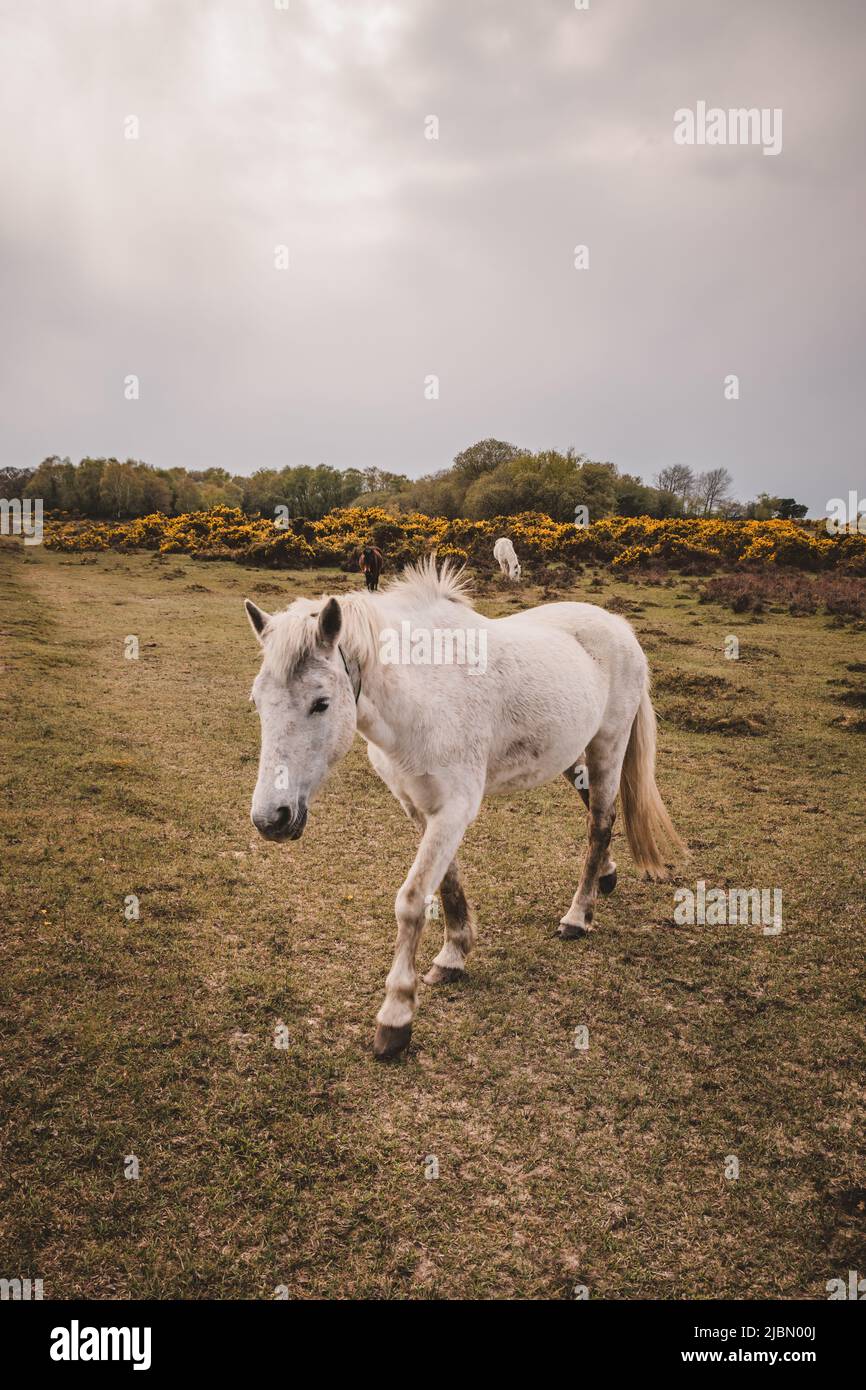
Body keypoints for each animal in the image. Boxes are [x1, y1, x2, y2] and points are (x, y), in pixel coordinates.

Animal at [244, 557, 685, 1060]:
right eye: (258, 702)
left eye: (321, 703)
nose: (271, 818)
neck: (424, 696)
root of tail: (617, 625)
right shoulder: (421, 808)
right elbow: (447, 883)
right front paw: (454, 955)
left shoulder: (454, 809)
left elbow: (412, 901)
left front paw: (396, 1015)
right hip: (572, 755)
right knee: (594, 810)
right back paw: (606, 878)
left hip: (607, 746)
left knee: (601, 821)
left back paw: (577, 916)